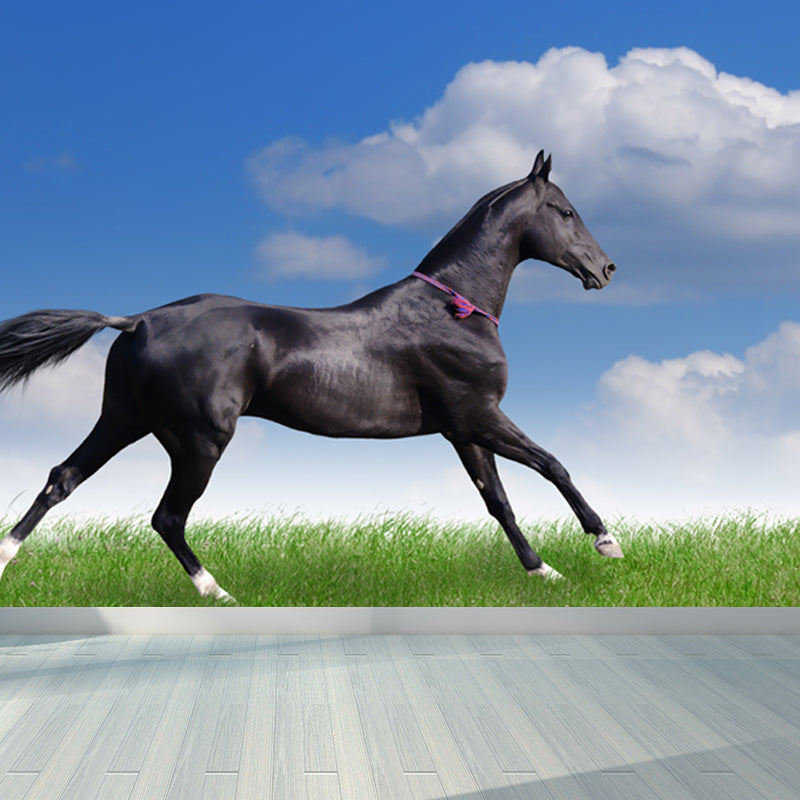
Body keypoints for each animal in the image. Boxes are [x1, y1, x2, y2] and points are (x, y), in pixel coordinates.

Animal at [0, 151, 622, 602]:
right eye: (565, 211)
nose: (606, 268)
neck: (453, 310)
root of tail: (138, 320)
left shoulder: (462, 429)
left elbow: (499, 503)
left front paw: (544, 572)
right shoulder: (480, 415)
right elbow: (553, 465)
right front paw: (606, 542)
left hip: (124, 419)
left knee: (61, 479)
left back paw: (6, 558)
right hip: (198, 440)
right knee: (167, 517)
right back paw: (218, 591)